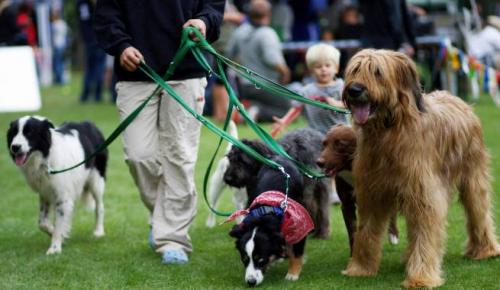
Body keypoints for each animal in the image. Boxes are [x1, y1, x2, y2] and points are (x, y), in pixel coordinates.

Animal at [229, 155, 314, 286]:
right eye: (244, 259)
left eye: (261, 259)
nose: (251, 282)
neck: (265, 215)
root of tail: (277, 156)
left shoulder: (300, 223)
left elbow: (297, 252)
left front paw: (292, 274)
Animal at [316, 123, 398, 255]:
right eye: (324, 144)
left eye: (340, 144)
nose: (319, 162)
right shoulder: (347, 205)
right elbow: (352, 231)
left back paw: (393, 235)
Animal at [340, 49, 500, 288]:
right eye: (354, 70)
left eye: (377, 72)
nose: (354, 90)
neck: (390, 130)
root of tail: (458, 100)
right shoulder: (372, 193)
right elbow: (366, 231)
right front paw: (361, 268)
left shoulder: (424, 194)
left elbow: (426, 233)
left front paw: (421, 277)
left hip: (473, 177)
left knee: (479, 212)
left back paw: (485, 250)